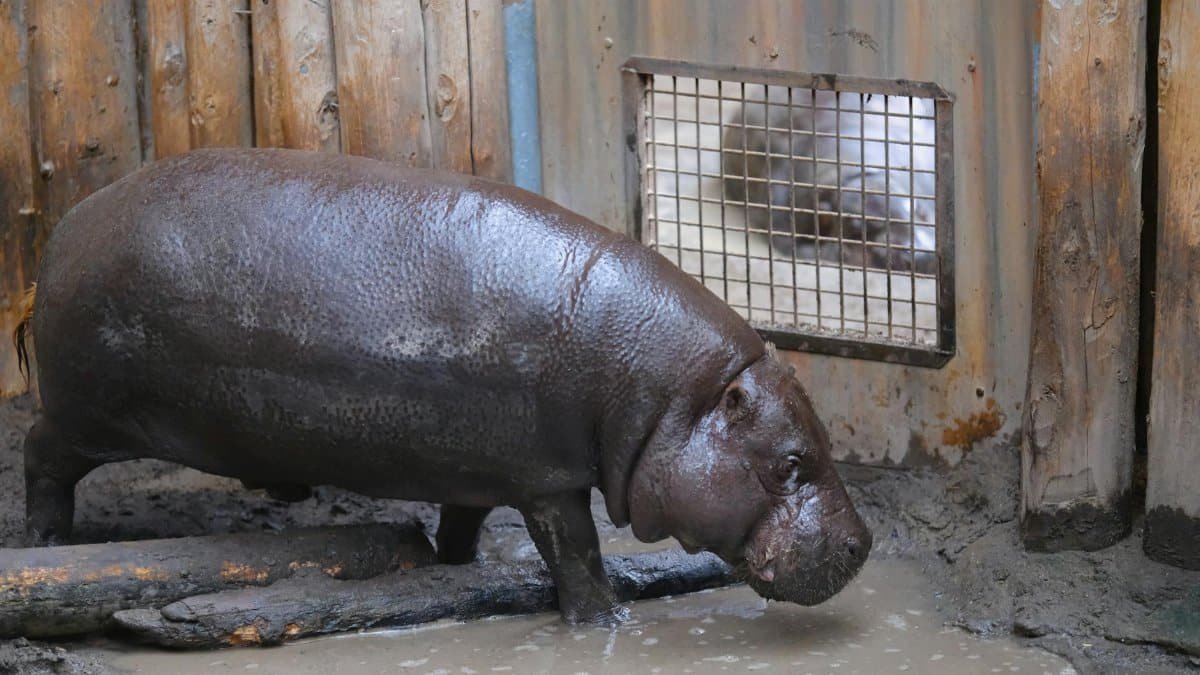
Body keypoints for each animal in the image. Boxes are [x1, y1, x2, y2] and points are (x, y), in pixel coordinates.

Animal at [14, 148, 871, 624]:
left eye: (824, 442)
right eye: (790, 463)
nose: (864, 543)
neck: (668, 397)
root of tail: (66, 228)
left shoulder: (482, 464)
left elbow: (465, 520)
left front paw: (450, 563)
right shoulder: (549, 479)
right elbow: (577, 553)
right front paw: (608, 623)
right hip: (88, 410)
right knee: (40, 452)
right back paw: (47, 541)